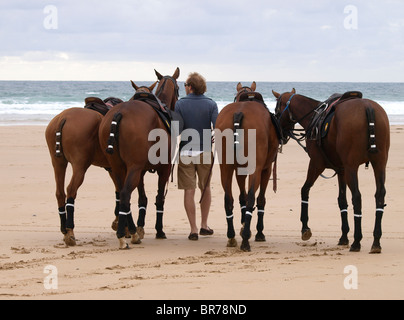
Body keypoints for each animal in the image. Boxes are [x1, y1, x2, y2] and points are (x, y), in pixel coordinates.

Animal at [45, 82, 156, 245]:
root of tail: (63, 118)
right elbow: (122, 194)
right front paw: (126, 228)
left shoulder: (113, 169)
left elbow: (119, 193)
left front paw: (121, 225)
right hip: (80, 165)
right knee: (71, 190)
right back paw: (70, 231)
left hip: (58, 163)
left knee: (60, 193)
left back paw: (64, 230)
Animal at [98, 67, 179, 250]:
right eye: (178, 88)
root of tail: (119, 113)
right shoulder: (164, 169)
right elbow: (159, 199)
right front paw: (159, 230)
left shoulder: (140, 171)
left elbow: (143, 199)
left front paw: (140, 227)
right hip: (133, 168)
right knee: (125, 194)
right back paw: (125, 236)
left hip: (118, 168)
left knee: (122, 195)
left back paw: (130, 231)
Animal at [216, 83, 280, 252]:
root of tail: (239, 113)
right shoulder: (266, 169)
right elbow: (260, 199)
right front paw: (257, 232)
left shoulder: (239, 170)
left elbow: (241, 197)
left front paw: (244, 224)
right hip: (255, 169)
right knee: (252, 197)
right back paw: (245, 240)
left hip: (225, 168)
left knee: (228, 199)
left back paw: (232, 236)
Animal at [274, 89, 390, 254]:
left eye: (277, 111)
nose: (282, 135)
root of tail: (368, 107)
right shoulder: (341, 170)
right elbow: (342, 201)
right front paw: (344, 236)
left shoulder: (316, 164)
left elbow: (304, 190)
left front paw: (305, 228)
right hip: (379, 164)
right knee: (379, 196)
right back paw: (376, 241)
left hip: (352, 167)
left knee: (357, 197)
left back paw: (357, 241)